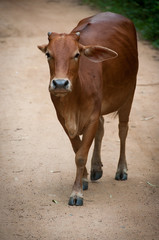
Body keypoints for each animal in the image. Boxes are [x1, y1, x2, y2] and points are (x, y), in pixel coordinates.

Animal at [38, 12, 138, 205]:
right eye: (48, 54)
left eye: (77, 54)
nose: (59, 83)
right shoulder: (63, 119)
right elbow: (78, 149)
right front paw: (83, 179)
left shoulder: (91, 117)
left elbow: (80, 155)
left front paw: (76, 193)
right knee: (102, 127)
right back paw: (96, 168)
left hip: (129, 93)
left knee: (123, 130)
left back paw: (122, 169)